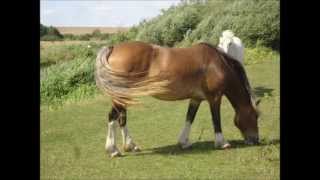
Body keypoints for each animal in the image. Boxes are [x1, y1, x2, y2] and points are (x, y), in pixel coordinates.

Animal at [95, 41, 260, 158]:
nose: (256, 140)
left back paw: (130, 145)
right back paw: (113, 150)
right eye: (255, 116)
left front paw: (184, 142)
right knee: (113, 117)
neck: (216, 63)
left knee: (122, 117)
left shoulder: (196, 99)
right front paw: (222, 143)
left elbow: (189, 118)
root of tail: (113, 48)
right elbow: (216, 120)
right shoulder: (215, 98)